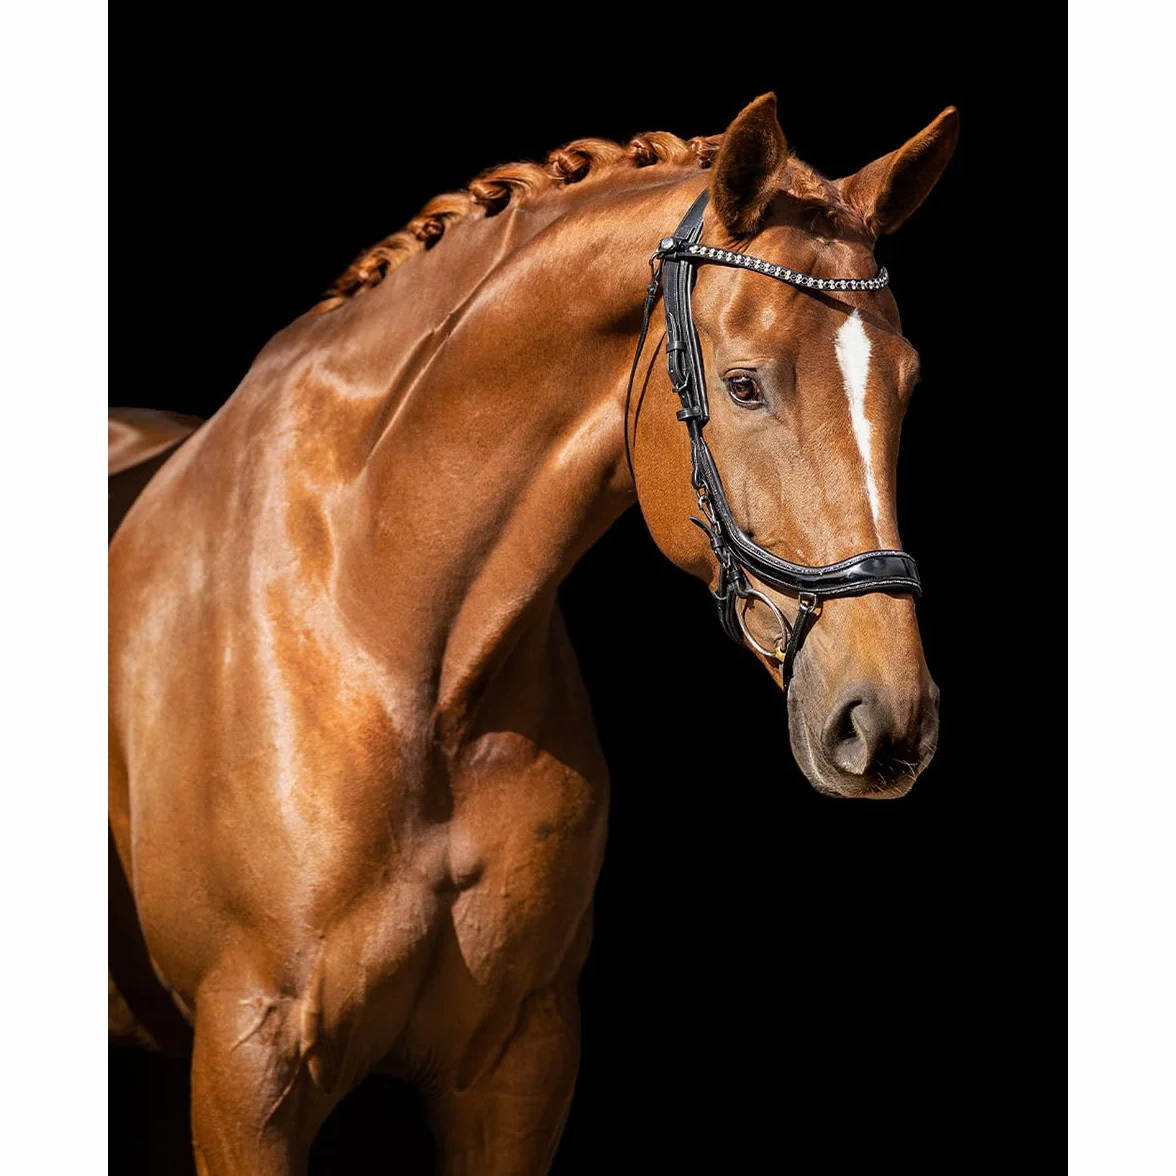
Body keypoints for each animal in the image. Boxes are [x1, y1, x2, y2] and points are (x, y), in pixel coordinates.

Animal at [109, 93, 957, 1173]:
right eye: (745, 384)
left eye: (908, 384)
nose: (886, 722)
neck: (392, 642)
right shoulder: (246, 1070)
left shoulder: (518, 1067)